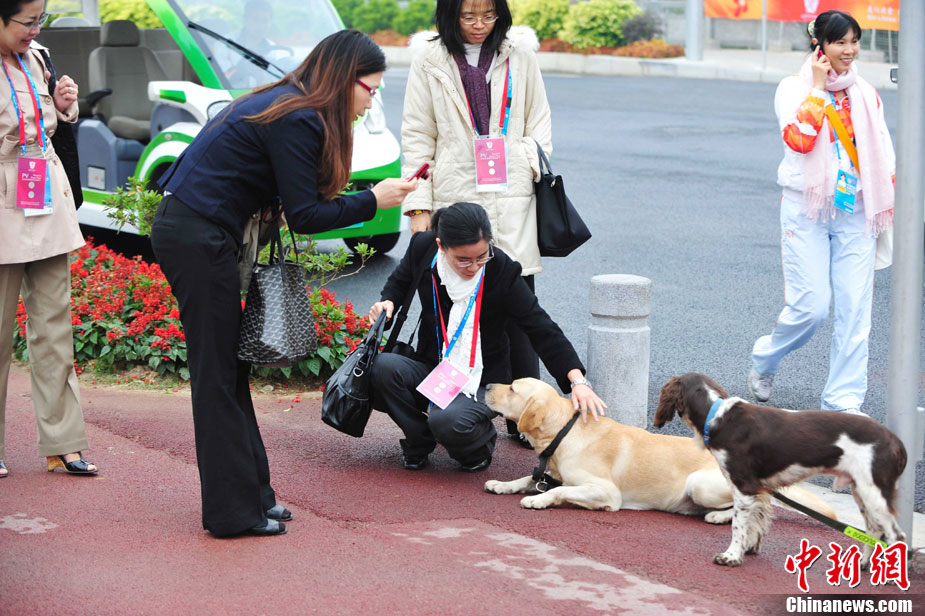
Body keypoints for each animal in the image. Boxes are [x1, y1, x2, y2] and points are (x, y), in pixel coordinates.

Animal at [483, 378, 835, 524]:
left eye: (512, 388)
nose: (486, 385)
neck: (564, 433)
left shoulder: (606, 492)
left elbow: (559, 491)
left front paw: (538, 500)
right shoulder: (550, 473)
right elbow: (527, 478)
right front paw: (503, 484)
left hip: (701, 484)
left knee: (755, 503)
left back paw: (718, 517)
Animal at [654, 372, 907, 568]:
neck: (716, 415)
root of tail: (896, 442)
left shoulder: (744, 486)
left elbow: (738, 524)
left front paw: (731, 556)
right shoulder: (759, 488)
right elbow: (755, 520)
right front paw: (748, 549)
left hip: (874, 492)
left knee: (896, 536)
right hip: (861, 490)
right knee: (874, 530)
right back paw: (863, 564)